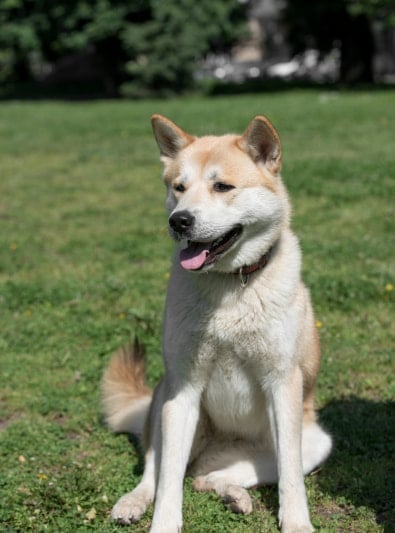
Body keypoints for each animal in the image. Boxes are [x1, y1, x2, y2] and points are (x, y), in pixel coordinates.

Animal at [101, 115, 332, 532]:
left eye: (222, 186)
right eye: (178, 187)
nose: (179, 221)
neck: (230, 285)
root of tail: (221, 449)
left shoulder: (282, 384)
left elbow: (290, 474)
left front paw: (296, 522)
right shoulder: (183, 391)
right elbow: (168, 479)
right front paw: (163, 523)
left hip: (315, 442)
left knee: (211, 478)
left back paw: (234, 494)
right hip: (165, 402)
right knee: (159, 469)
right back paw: (134, 501)